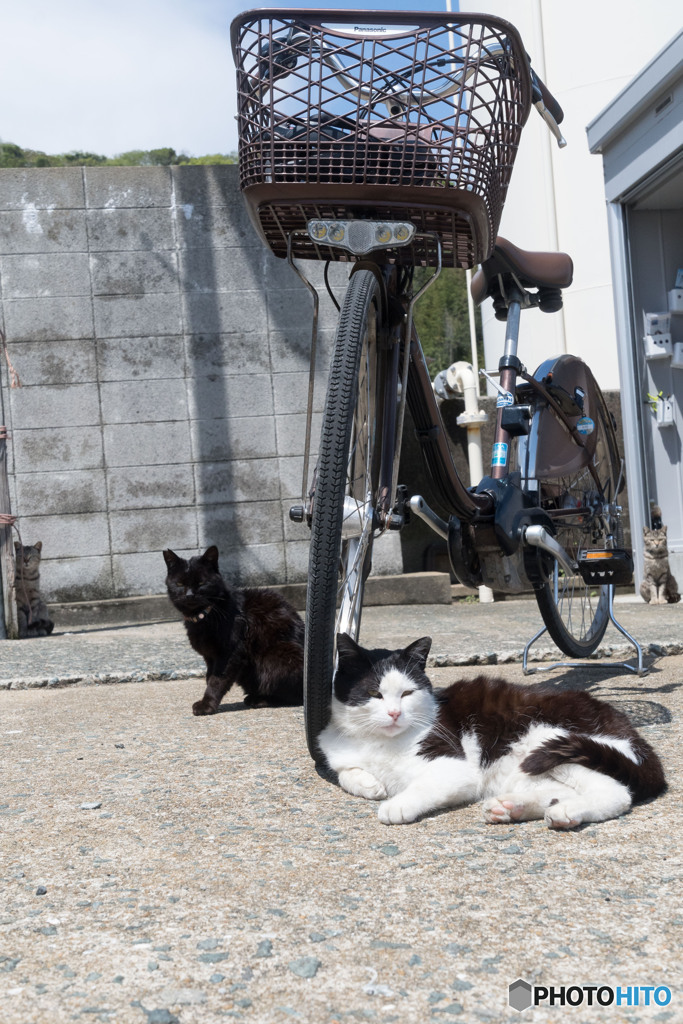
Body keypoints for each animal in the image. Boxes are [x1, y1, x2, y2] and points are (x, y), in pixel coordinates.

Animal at [163, 544, 303, 712]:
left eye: (201, 583)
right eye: (179, 584)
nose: (190, 595)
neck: (205, 616)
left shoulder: (230, 654)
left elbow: (216, 680)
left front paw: (206, 705)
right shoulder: (210, 657)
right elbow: (209, 677)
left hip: (279, 657)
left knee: (294, 695)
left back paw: (261, 700)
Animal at [321, 634, 667, 827]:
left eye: (407, 693)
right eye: (374, 693)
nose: (394, 713)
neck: (377, 741)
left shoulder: (454, 766)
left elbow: (422, 786)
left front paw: (397, 804)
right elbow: (343, 772)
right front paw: (368, 784)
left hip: (549, 739)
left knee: (616, 792)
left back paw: (568, 812)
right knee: (559, 790)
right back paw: (513, 808)